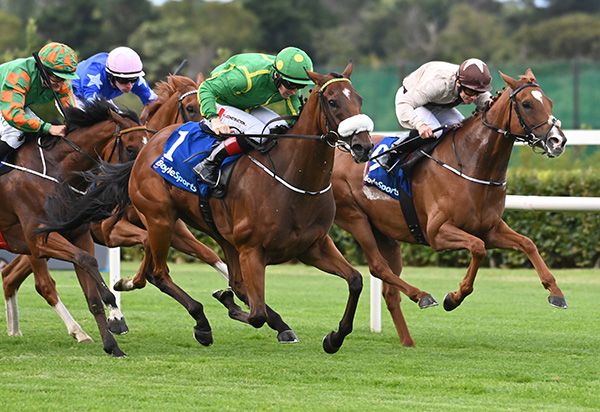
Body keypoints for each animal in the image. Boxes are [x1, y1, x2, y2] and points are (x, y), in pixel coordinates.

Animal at [0, 100, 148, 357]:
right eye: (130, 149)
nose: (141, 179)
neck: (57, 172)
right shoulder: (39, 238)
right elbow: (87, 261)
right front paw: (116, 315)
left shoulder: (78, 235)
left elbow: (91, 293)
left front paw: (112, 345)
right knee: (42, 285)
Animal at [41, 64, 377, 353]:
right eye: (333, 102)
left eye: (359, 99)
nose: (363, 146)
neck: (293, 177)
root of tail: (149, 147)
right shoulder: (252, 250)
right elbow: (255, 312)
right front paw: (234, 305)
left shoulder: (313, 246)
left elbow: (355, 281)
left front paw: (334, 337)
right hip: (161, 219)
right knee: (158, 273)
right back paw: (197, 321)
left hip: (196, 228)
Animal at [331, 68, 567, 346]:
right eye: (527, 104)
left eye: (549, 101)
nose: (558, 141)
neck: (472, 164)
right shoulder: (437, 233)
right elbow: (478, 248)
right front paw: (453, 298)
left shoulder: (490, 229)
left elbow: (528, 243)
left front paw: (556, 293)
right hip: (355, 219)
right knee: (378, 267)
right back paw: (422, 297)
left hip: (385, 233)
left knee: (390, 291)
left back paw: (408, 341)